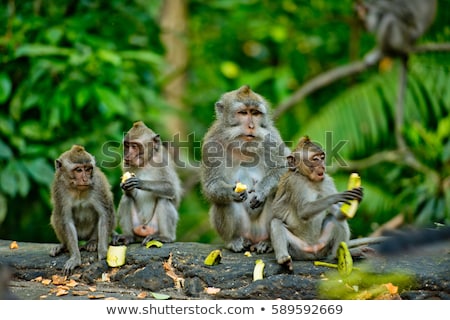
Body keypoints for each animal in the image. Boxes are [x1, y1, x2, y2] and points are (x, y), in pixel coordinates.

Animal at [49, 145, 116, 276]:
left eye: (88, 169)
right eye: (79, 170)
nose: (85, 179)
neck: (77, 189)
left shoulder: (98, 184)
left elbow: (105, 213)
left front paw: (103, 252)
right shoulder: (59, 188)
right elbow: (66, 220)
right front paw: (75, 258)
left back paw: (93, 242)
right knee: (56, 215)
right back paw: (62, 245)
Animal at [200, 84, 288, 252]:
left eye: (255, 113)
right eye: (243, 113)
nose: (252, 126)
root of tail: (253, 236)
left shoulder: (272, 137)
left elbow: (284, 169)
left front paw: (261, 190)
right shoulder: (212, 143)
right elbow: (211, 185)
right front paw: (230, 192)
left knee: (277, 192)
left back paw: (267, 242)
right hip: (243, 228)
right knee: (222, 202)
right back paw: (234, 240)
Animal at [268, 136, 364, 272]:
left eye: (322, 157)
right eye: (315, 159)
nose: (322, 166)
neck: (309, 179)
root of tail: (313, 251)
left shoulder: (326, 180)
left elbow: (338, 215)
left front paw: (358, 197)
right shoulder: (295, 183)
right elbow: (303, 211)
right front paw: (336, 197)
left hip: (323, 245)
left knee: (335, 220)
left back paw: (337, 255)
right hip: (298, 249)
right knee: (276, 222)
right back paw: (284, 259)